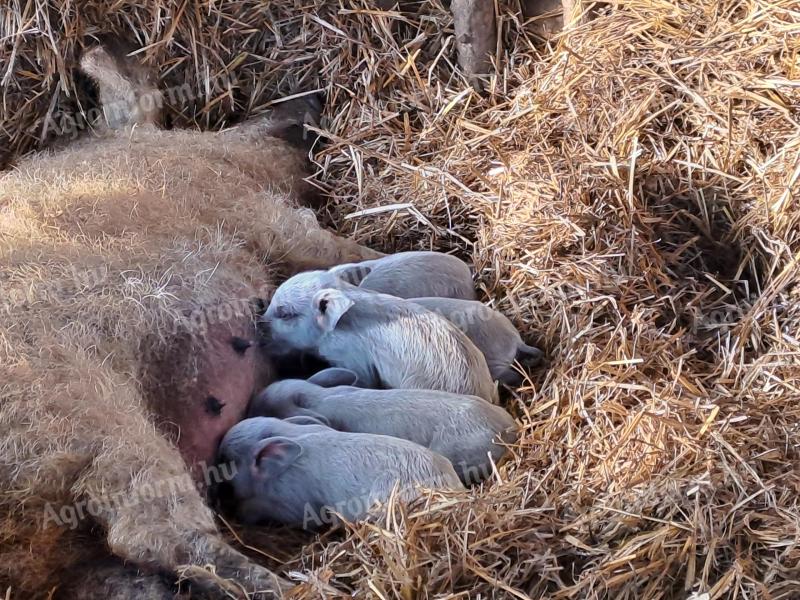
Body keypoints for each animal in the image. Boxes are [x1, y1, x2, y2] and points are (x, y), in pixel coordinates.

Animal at [0, 44, 378, 596]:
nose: (308, 99)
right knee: (154, 532)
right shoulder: (256, 214)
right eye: (241, 123)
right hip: (79, 410)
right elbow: (343, 254)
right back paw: (297, 587)